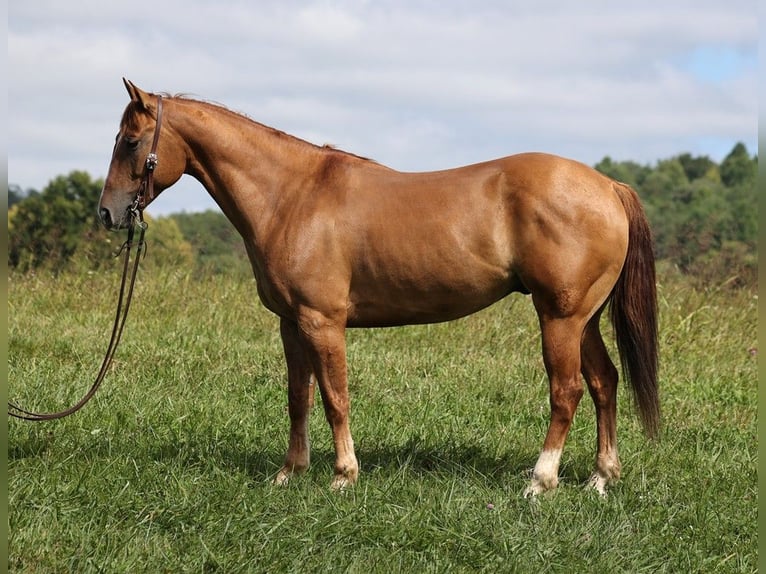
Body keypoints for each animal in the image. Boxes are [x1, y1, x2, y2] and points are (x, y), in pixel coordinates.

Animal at [97, 79, 660, 498]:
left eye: (131, 141)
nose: (107, 213)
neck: (291, 195)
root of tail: (609, 186)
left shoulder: (322, 321)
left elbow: (335, 397)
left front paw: (344, 476)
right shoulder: (290, 323)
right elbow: (298, 397)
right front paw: (289, 473)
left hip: (560, 318)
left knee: (566, 391)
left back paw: (540, 482)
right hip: (582, 319)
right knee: (604, 383)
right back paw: (600, 478)